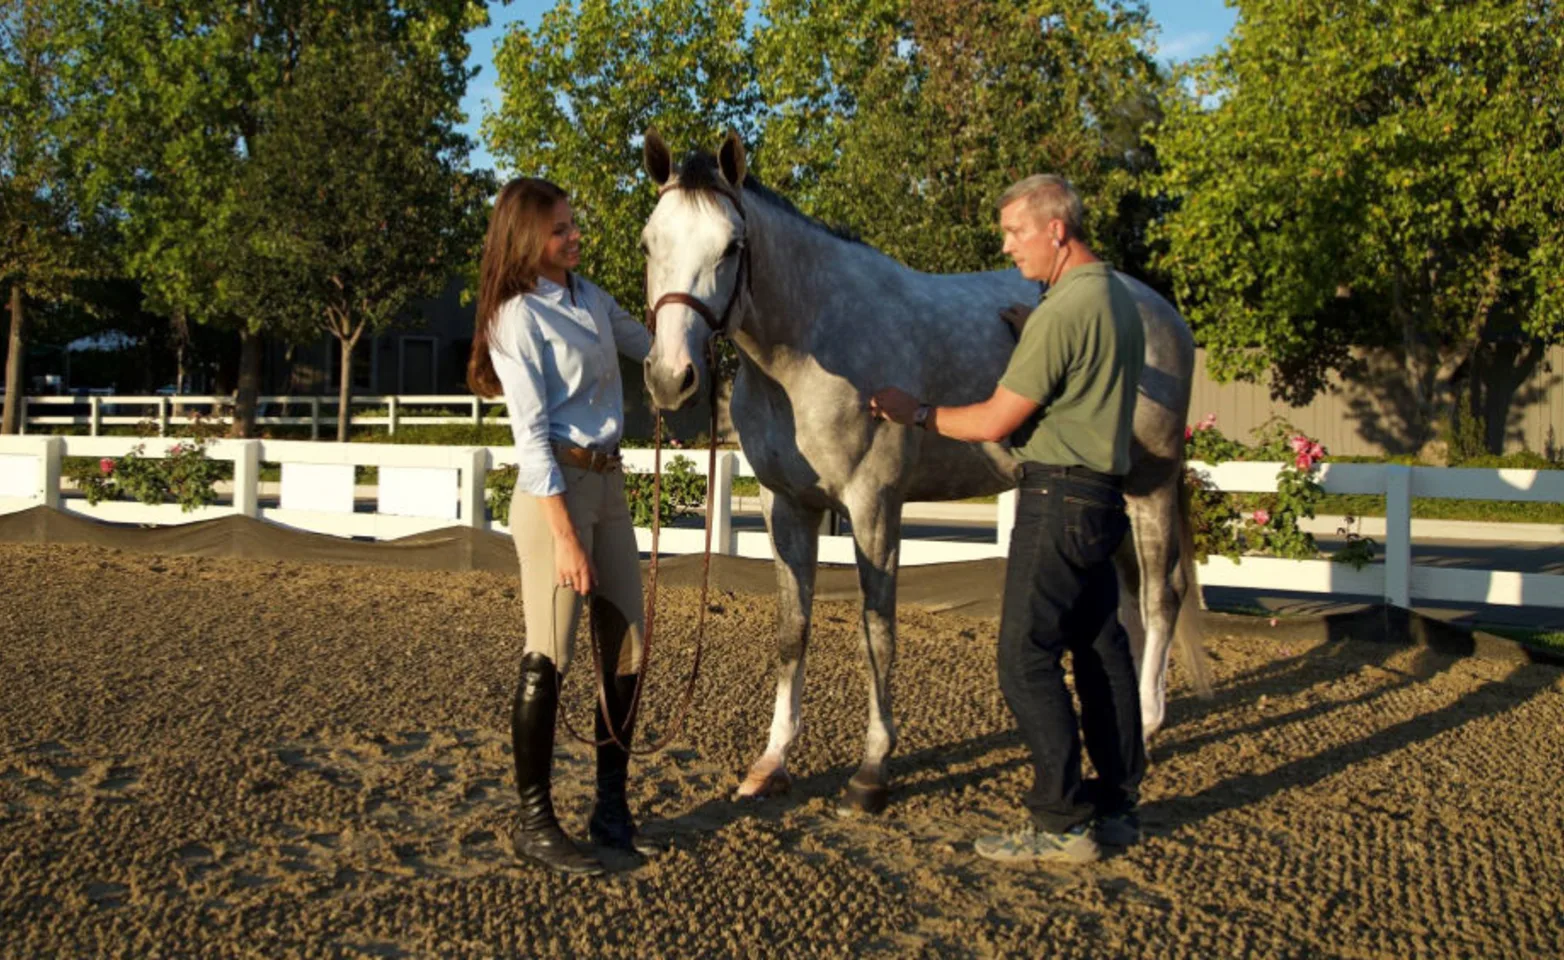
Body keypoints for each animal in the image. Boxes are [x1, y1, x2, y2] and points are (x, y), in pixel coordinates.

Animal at [641, 131, 1201, 819]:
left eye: (732, 246)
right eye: (649, 243)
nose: (671, 378)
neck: (806, 348)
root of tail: (1160, 311)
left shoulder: (875, 505)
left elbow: (876, 633)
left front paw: (872, 771)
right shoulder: (787, 506)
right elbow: (792, 633)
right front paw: (771, 764)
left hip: (1151, 485)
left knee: (1161, 593)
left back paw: (1146, 727)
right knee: (1126, 603)